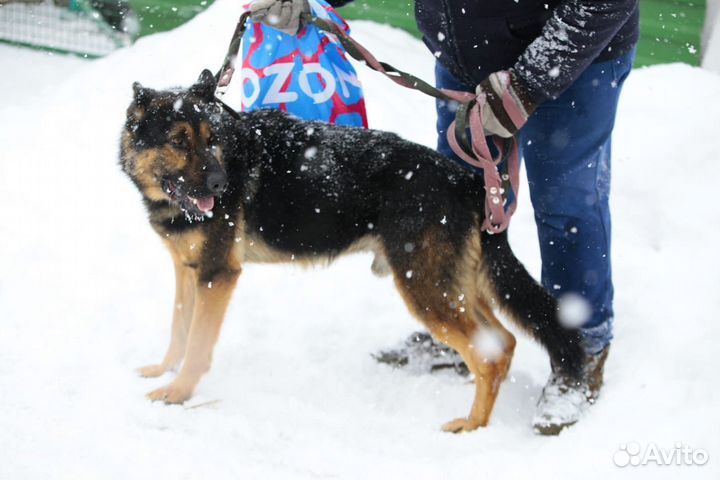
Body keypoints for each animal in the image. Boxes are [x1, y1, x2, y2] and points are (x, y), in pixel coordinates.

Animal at [119, 70, 584, 432]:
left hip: (425, 289)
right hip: (454, 286)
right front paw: (163, 370)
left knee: (487, 354)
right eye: (180, 142)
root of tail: (468, 181)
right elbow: (179, 330)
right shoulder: (188, 271)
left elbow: (197, 345)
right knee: (501, 343)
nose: (221, 185)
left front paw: (178, 393)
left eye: (211, 139)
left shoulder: (217, 276)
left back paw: (472, 425)